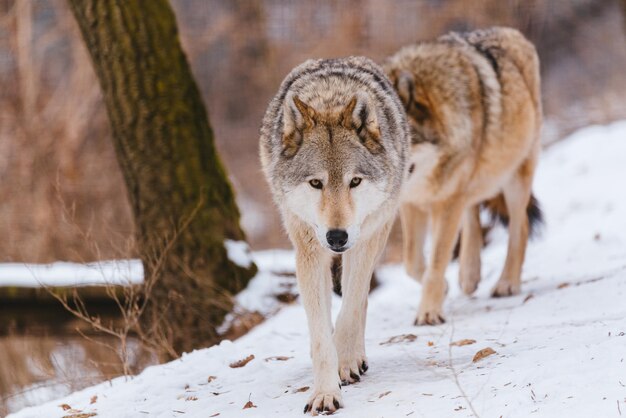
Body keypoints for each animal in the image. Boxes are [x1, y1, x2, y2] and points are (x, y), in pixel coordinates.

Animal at [258, 57, 410, 414]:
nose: (337, 237)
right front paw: (325, 391)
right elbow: (319, 334)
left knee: (360, 297)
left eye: (354, 181)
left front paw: (346, 361)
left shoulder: (364, 242)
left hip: (378, 231)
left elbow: (351, 306)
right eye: (316, 183)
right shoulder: (309, 250)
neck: (330, 100)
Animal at [382, 27, 540, 326]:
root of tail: (511, 32)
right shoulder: (411, 202)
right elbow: (412, 262)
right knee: (472, 214)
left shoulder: (445, 202)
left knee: (520, 226)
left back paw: (506, 283)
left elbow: (435, 261)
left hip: (514, 176)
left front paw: (429, 312)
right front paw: (443, 288)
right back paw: (469, 273)